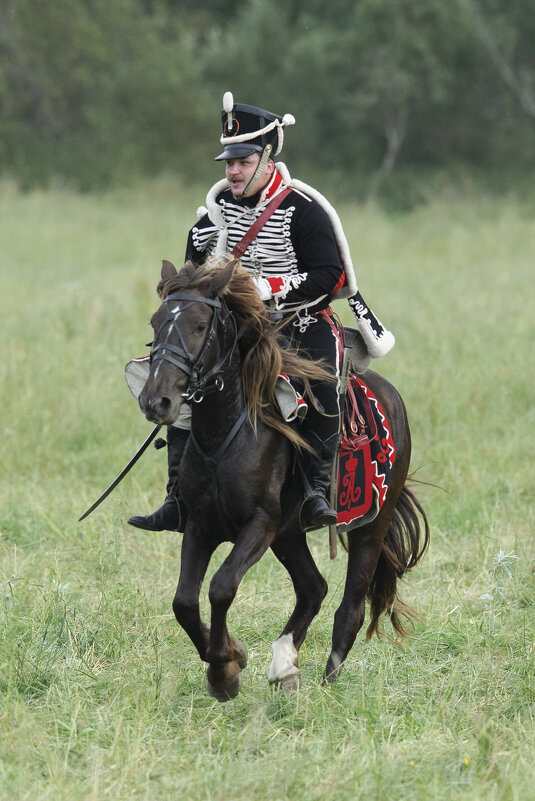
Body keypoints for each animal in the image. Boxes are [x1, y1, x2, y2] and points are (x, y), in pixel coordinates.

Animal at [139, 258, 432, 700]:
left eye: (200, 325)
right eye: (157, 322)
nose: (156, 401)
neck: (228, 434)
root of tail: (391, 397)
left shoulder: (259, 524)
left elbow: (221, 586)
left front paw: (225, 669)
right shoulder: (201, 525)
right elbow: (184, 602)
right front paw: (227, 661)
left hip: (370, 526)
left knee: (350, 607)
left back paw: (326, 684)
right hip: (289, 536)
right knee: (313, 589)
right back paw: (284, 665)